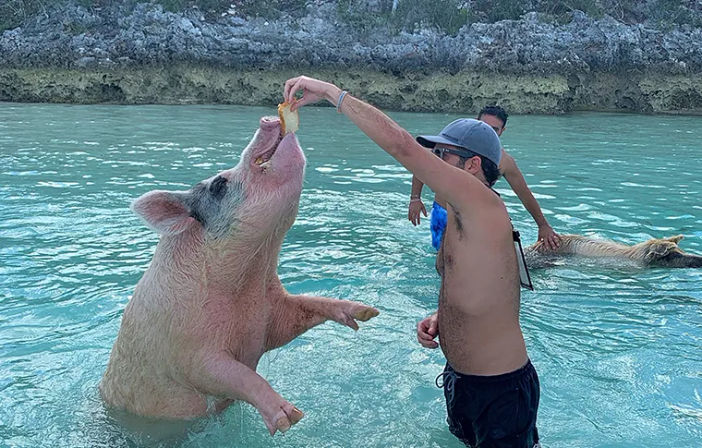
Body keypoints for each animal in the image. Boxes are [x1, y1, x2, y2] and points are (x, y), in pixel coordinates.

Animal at [99, 116, 379, 436]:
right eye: (219, 184)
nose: (267, 119)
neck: (247, 280)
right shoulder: (187, 353)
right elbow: (231, 374)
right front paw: (290, 417)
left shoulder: (272, 314)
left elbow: (304, 307)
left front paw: (365, 312)